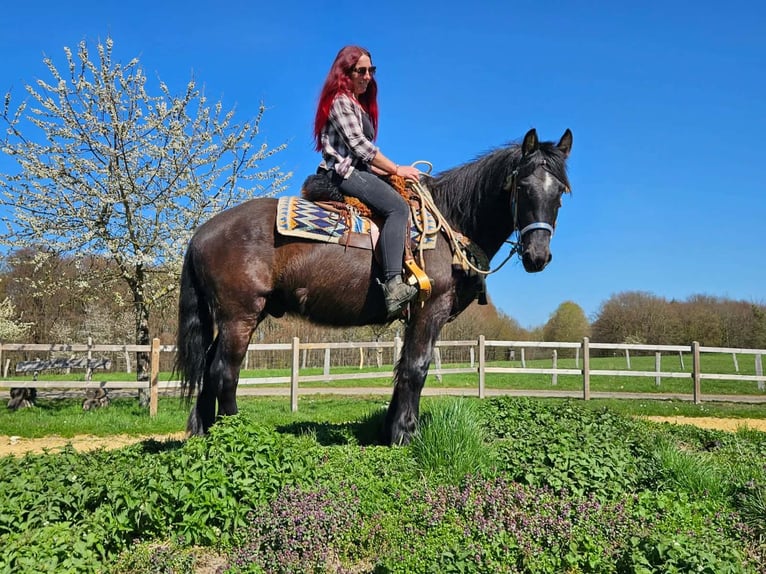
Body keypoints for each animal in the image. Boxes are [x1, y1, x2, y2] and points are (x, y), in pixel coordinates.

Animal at [176, 128, 573, 445]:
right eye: (523, 187)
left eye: (559, 194)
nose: (538, 256)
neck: (450, 221)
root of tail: (202, 233)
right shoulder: (431, 309)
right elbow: (416, 368)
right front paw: (405, 435)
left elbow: (402, 369)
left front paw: (390, 429)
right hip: (240, 315)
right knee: (224, 371)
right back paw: (235, 432)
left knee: (209, 368)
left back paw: (203, 433)